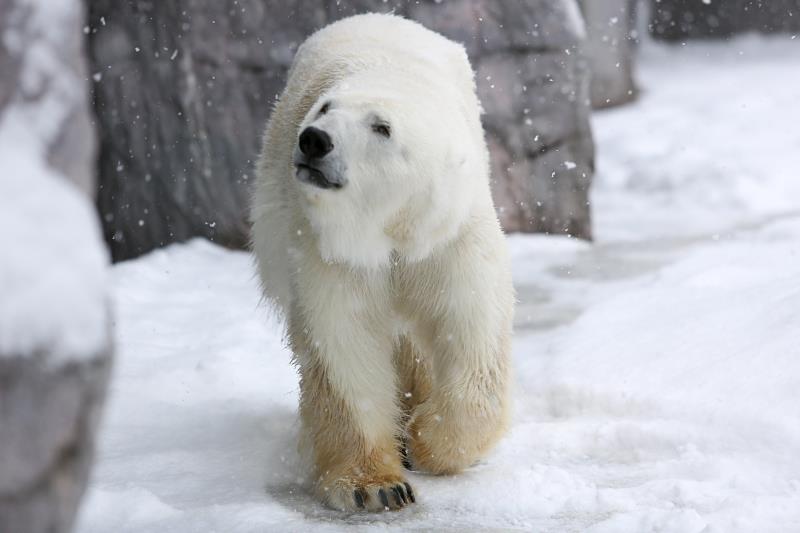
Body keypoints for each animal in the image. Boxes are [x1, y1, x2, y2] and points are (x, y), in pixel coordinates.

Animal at [250, 12, 512, 512]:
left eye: (381, 127)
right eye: (324, 108)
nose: (314, 141)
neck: (391, 226)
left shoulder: (450, 235)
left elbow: (470, 329)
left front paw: (427, 439)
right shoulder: (326, 248)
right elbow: (344, 340)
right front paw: (375, 486)